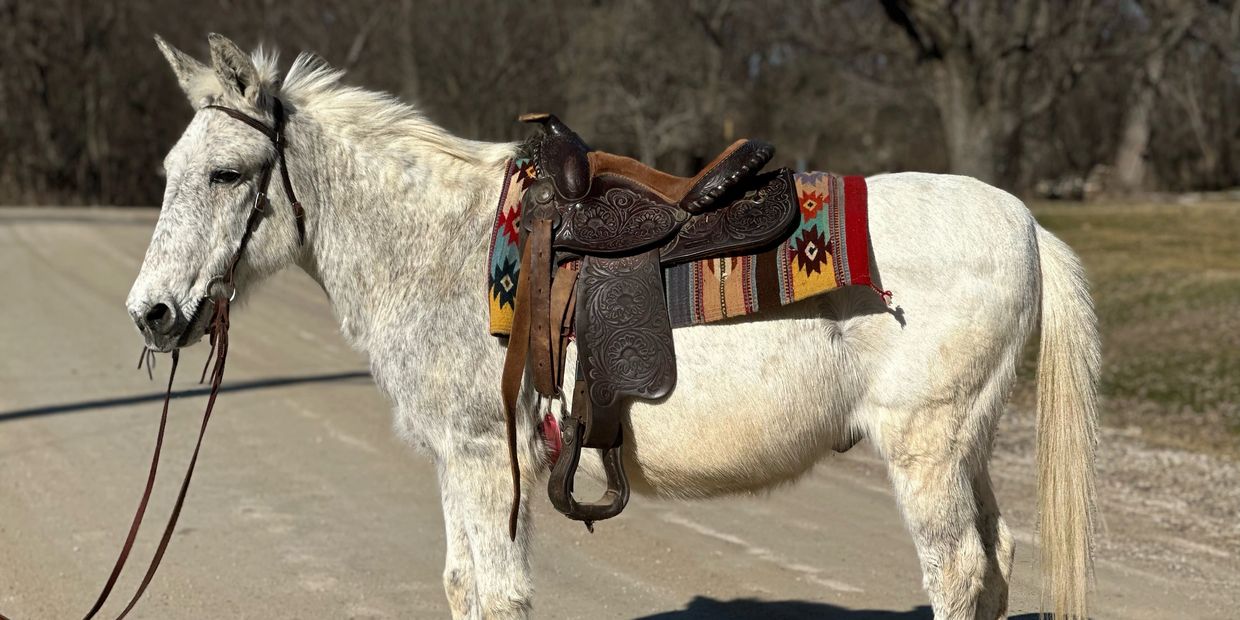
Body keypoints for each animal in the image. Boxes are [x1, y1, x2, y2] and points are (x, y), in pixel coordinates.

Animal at [126, 34, 1099, 620]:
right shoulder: (457, 459)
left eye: (225, 173)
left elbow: (498, 596)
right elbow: (462, 586)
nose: (154, 312)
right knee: (996, 558)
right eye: (170, 169)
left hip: (925, 446)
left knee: (958, 571)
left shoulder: (488, 460)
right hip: (966, 446)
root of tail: (1024, 221)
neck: (444, 248)